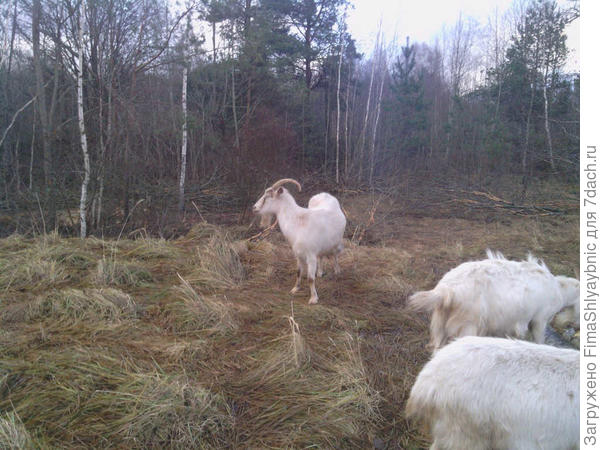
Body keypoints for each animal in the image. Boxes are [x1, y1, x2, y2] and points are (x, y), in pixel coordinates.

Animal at [408, 250, 580, 352]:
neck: (560, 289)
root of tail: (446, 290)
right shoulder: (540, 319)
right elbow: (539, 340)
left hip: (441, 324)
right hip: (467, 325)